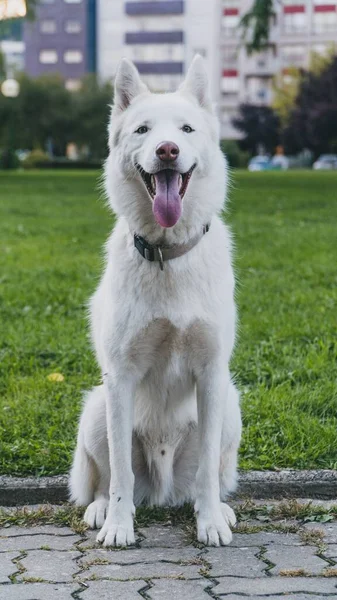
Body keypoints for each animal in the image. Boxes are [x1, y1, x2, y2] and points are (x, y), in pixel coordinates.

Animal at [69, 56, 242, 548]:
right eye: (143, 130)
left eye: (186, 129)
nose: (167, 150)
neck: (167, 254)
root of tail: (163, 494)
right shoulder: (120, 378)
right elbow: (120, 473)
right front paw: (118, 526)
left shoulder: (211, 375)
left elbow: (207, 472)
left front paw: (210, 523)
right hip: (97, 408)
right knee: (108, 476)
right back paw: (102, 510)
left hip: (231, 406)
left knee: (209, 477)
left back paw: (218, 508)